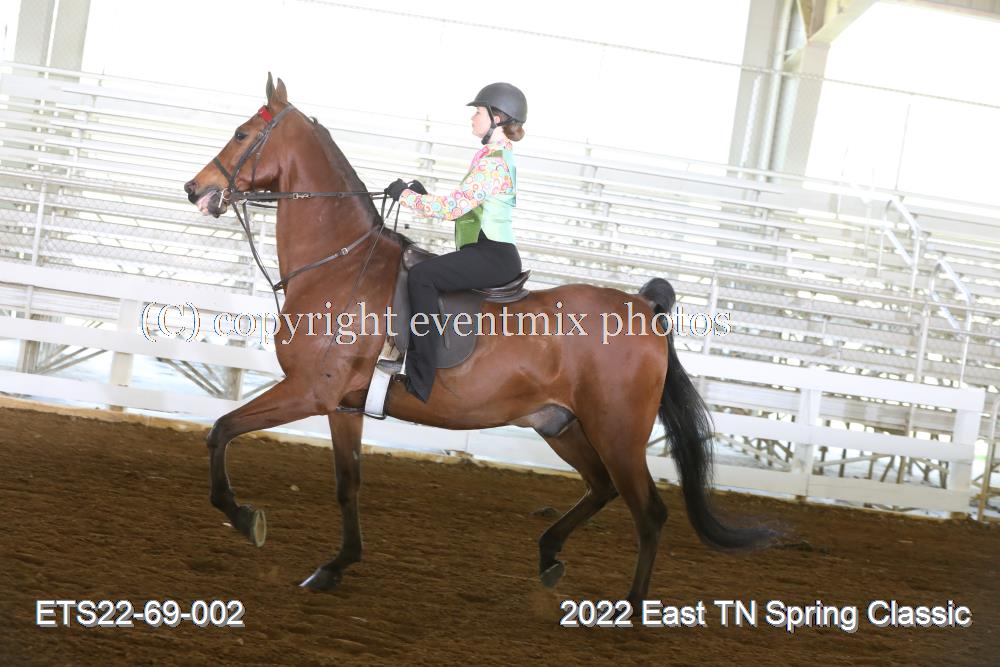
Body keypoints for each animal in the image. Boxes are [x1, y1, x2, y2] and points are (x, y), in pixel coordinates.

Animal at [183, 74, 773, 606]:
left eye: (241, 133)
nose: (196, 189)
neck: (341, 264)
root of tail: (644, 308)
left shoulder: (308, 391)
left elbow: (221, 431)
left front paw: (245, 518)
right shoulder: (343, 407)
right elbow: (347, 485)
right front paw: (336, 565)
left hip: (619, 434)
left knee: (648, 511)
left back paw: (629, 606)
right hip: (557, 424)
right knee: (601, 488)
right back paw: (549, 554)